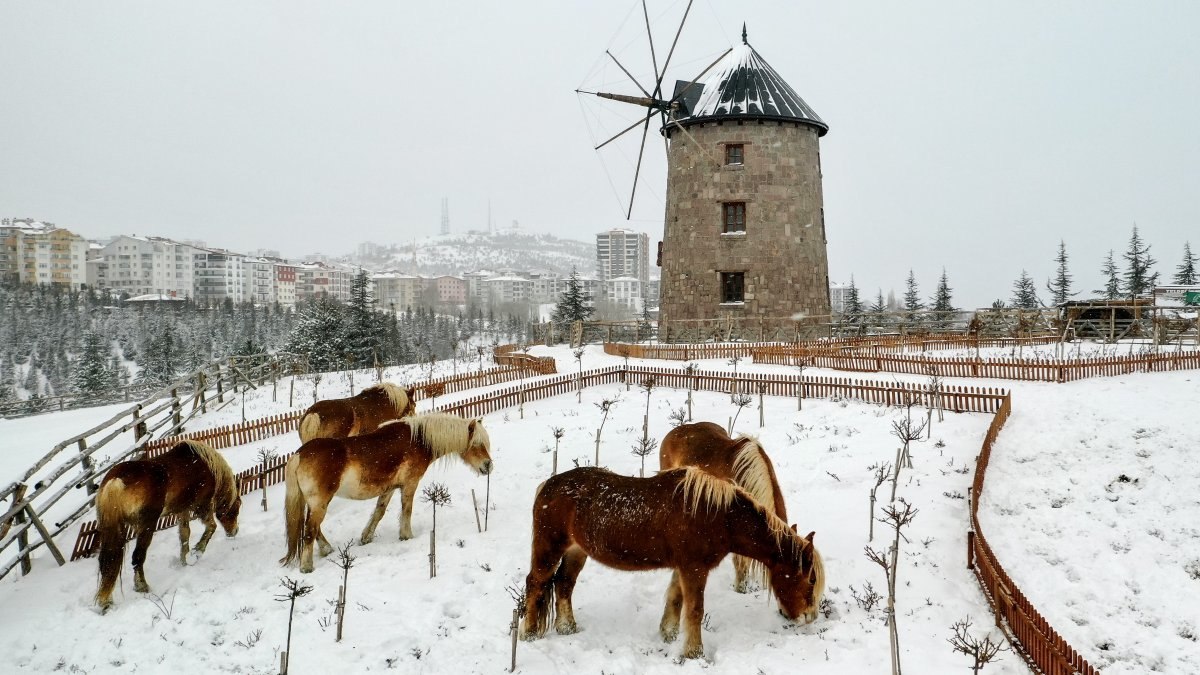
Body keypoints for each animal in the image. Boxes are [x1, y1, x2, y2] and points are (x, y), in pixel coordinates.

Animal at [93, 439, 241, 612]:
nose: (234, 531)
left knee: (108, 562)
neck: (205, 465)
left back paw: (106, 600)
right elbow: (211, 527)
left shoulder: (183, 509)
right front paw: (197, 552)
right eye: (237, 506)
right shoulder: (200, 506)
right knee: (138, 556)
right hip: (147, 525)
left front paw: (184, 560)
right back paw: (142, 586)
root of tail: (116, 480)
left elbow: (185, 533)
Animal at [280, 408, 492, 569]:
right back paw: (307, 567)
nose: (488, 465)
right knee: (310, 530)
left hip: (314, 503)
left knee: (312, 528)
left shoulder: (389, 488)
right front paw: (407, 536)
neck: (418, 440)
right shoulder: (409, 484)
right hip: (320, 503)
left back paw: (326, 549)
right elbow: (406, 510)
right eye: (477, 444)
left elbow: (378, 512)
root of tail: (299, 454)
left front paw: (366, 537)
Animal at [520, 466, 820, 658]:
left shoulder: (684, 567)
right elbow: (695, 610)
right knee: (536, 583)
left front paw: (668, 635)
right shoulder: (695, 568)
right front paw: (694, 652)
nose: (809, 617)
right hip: (549, 550)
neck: (719, 515)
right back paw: (529, 634)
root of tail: (546, 486)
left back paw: (567, 628)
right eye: (810, 581)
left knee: (564, 584)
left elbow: (675, 599)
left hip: (575, 552)